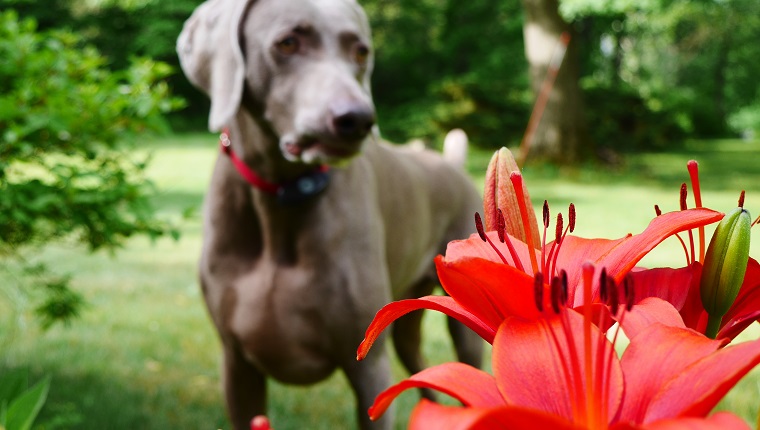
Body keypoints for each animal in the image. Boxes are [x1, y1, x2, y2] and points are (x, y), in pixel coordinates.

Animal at [177, 0, 480, 426]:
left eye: (361, 52)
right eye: (287, 43)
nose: (358, 119)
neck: (280, 199)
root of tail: (453, 165)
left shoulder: (369, 367)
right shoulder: (237, 366)